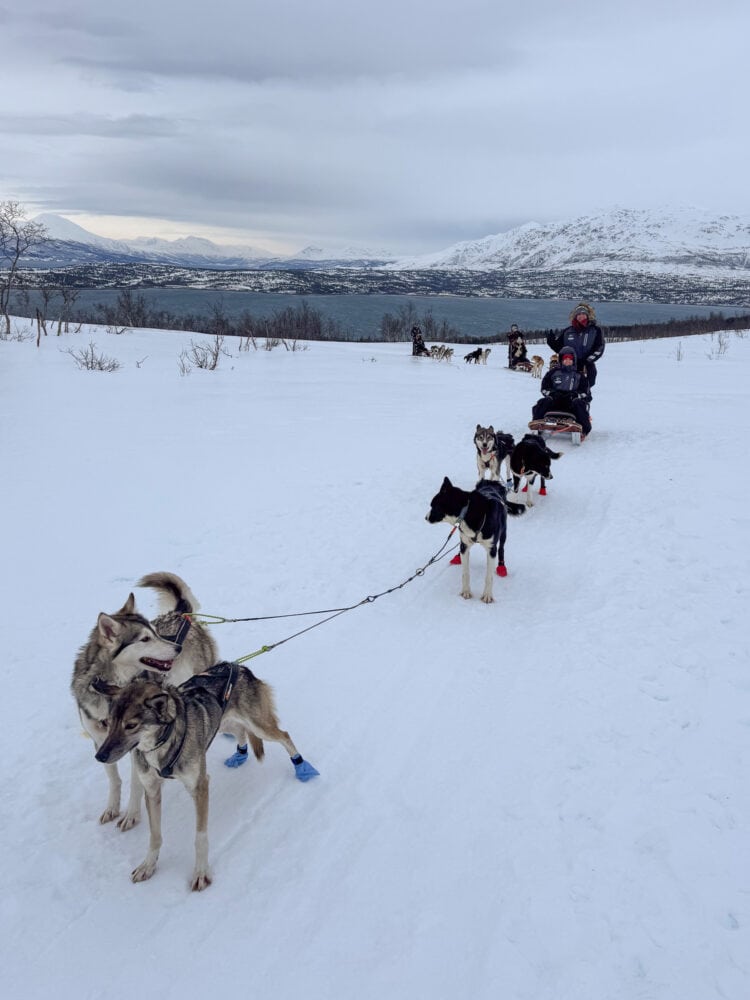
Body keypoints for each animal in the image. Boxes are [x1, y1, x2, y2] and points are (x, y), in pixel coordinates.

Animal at [72, 576, 219, 832]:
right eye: (145, 639)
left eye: (154, 633)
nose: (177, 647)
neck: (109, 688)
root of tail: (179, 615)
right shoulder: (100, 741)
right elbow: (114, 779)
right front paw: (112, 808)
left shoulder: (136, 747)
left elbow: (135, 783)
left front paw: (131, 814)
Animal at [93, 664, 318, 892]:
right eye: (109, 722)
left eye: (131, 725)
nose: (99, 756)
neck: (165, 742)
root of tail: (238, 666)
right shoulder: (152, 790)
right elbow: (155, 835)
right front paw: (148, 865)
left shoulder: (199, 787)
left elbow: (200, 837)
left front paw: (201, 872)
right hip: (222, 723)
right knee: (239, 729)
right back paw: (240, 754)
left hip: (259, 727)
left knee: (284, 735)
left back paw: (301, 767)